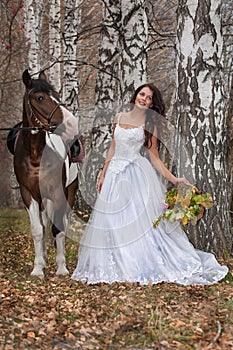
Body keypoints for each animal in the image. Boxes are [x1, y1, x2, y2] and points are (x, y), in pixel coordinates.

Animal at [10, 69, 82, 278]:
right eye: (40, 97)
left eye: (57, 95)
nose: (71, 123)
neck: (36, 156)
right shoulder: (28, 194)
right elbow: (37, 230)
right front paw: (37, 268)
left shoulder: (57, 194)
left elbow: (58, 229)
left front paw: (62, 267)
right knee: (43, 224)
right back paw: (43, 259)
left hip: (69, 193)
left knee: (61, 224)